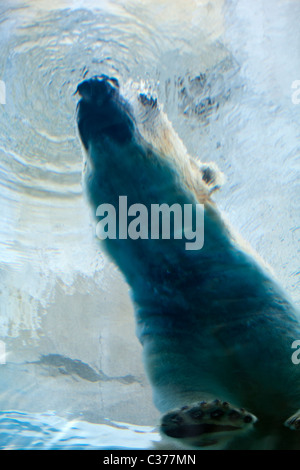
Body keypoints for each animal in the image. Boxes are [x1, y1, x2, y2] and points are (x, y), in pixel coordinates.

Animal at [75, 75, 300, 450]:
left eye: (148, 98)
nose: (94, 83)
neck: (192, 279)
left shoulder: (265, 313)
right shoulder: (172, 329)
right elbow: (183, 387)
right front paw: (205, 413)